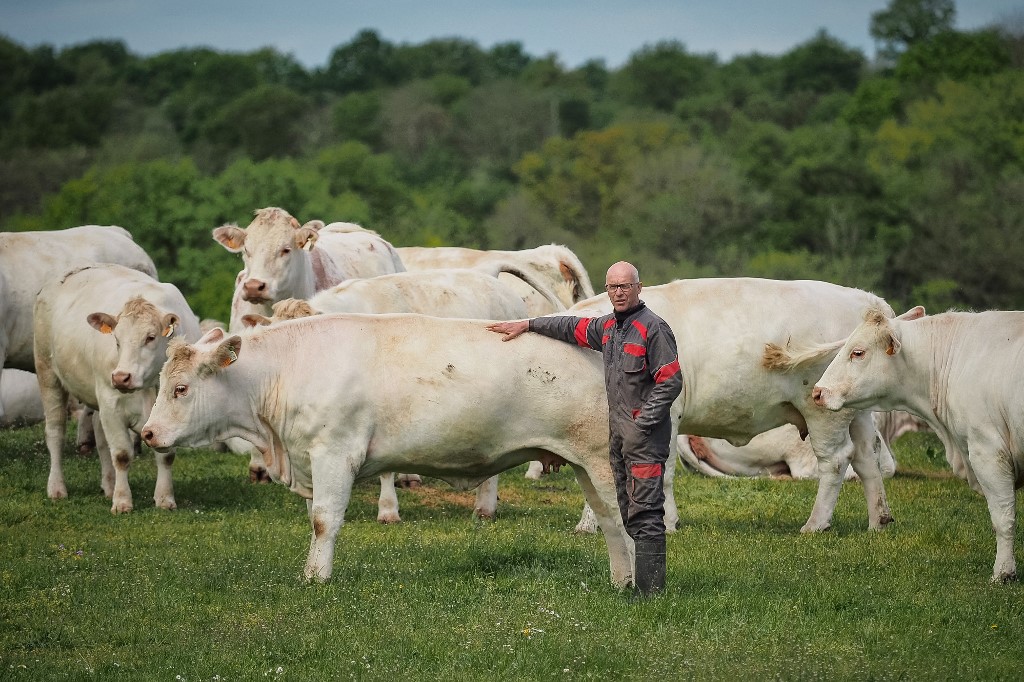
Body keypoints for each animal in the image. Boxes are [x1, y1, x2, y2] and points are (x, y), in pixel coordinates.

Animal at [34, 264, 202, 513]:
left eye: (150, 337)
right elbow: (122, 455)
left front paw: (164, 498)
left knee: (99, 434)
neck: (149, 386)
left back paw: (109, 485)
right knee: (55, 432)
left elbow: (166, 455)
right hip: (47, 372)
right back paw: (57, 488)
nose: (121, 377)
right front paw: (122, 501)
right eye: (116, 340)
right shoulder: (111, 403)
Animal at [140, 315, 634, 587]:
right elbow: (315, 518)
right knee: (609, 523)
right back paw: (621, 581)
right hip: (584, 464)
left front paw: (316, 578)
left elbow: (324, 520)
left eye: (181, 388)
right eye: (164, 384)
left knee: (624, 521)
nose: (147, 434)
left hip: (603, 461)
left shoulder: (334, 453)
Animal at [563, 278, 897, 536]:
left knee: (836, 460)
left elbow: (661, 471)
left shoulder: (665, 413)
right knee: (867, 457)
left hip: (823, 409)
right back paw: (878, 520)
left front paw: (666, 523)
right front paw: (593, 523)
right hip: (858, 412)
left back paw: (816, 524)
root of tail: (865, 299)